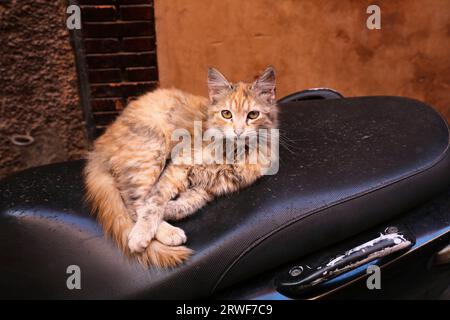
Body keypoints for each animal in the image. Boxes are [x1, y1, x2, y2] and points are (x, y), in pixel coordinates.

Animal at [82, 67, 276, 268]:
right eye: (226, 114)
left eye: (253, 115)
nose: (238, 132)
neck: (232, 153)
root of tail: (100, 145)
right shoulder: (179, 166)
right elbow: (153, 202)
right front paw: (144, 232)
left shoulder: (208, 188)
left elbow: (186, 205)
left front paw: (168, 209)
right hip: (150, 153)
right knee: (135, 203)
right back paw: (162, 233)